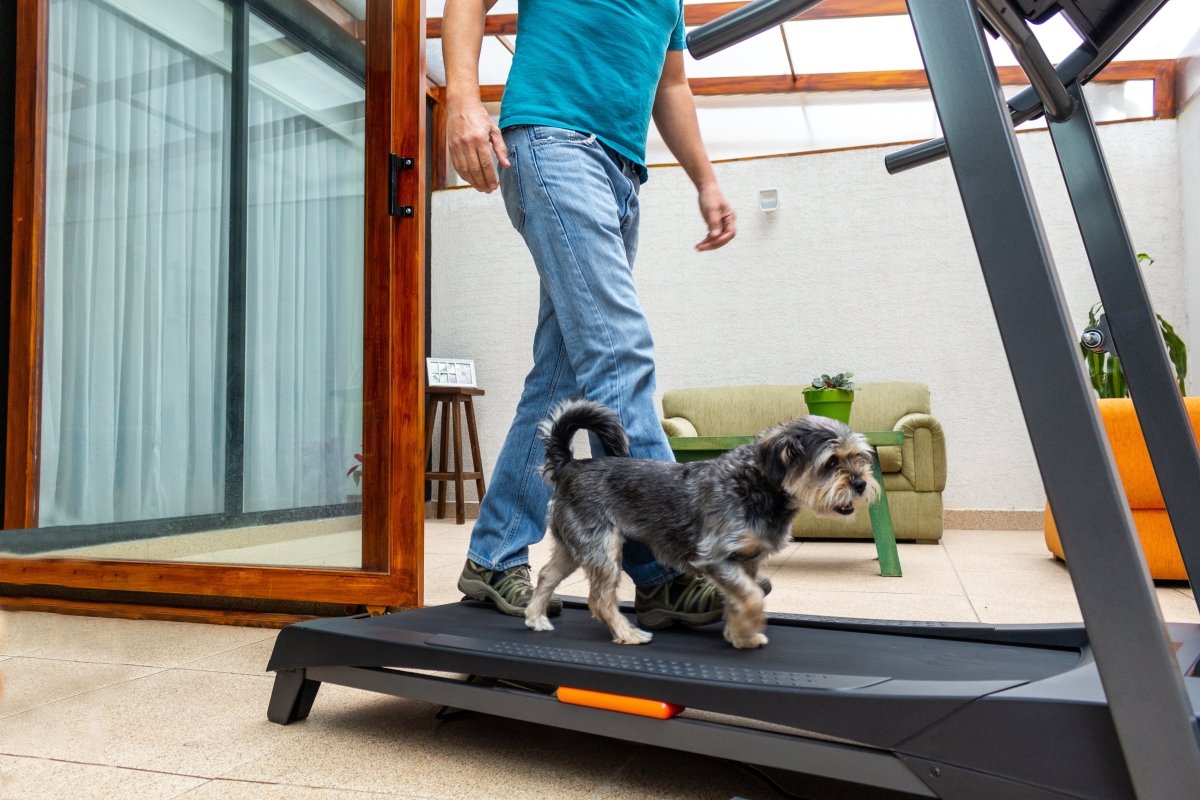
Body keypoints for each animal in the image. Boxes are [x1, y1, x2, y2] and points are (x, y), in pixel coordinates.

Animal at [528, 400, 883, 652]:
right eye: (831, 462)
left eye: (860, 458)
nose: (861, 483)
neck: (757, 485)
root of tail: (569, 466)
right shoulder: (716, 558)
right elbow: (752, 597)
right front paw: (749, 627)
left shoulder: (746, 561)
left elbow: (742, 597)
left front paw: (740, 634)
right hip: (601, 548)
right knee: (599, 598)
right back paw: (627, 633)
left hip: (573, 546)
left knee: (546, 575)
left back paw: (535, 617)